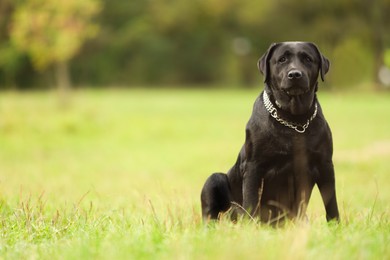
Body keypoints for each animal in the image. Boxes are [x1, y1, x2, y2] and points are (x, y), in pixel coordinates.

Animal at [203, 42, 340, 223]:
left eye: (308, 59)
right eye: (282, 59)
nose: (295, 74)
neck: (294, 120)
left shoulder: (325, 165)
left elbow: (331, 202)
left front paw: (336, 226)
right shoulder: (254, 166)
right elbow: (251, 202)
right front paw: (249, 226)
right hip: (214, 180)